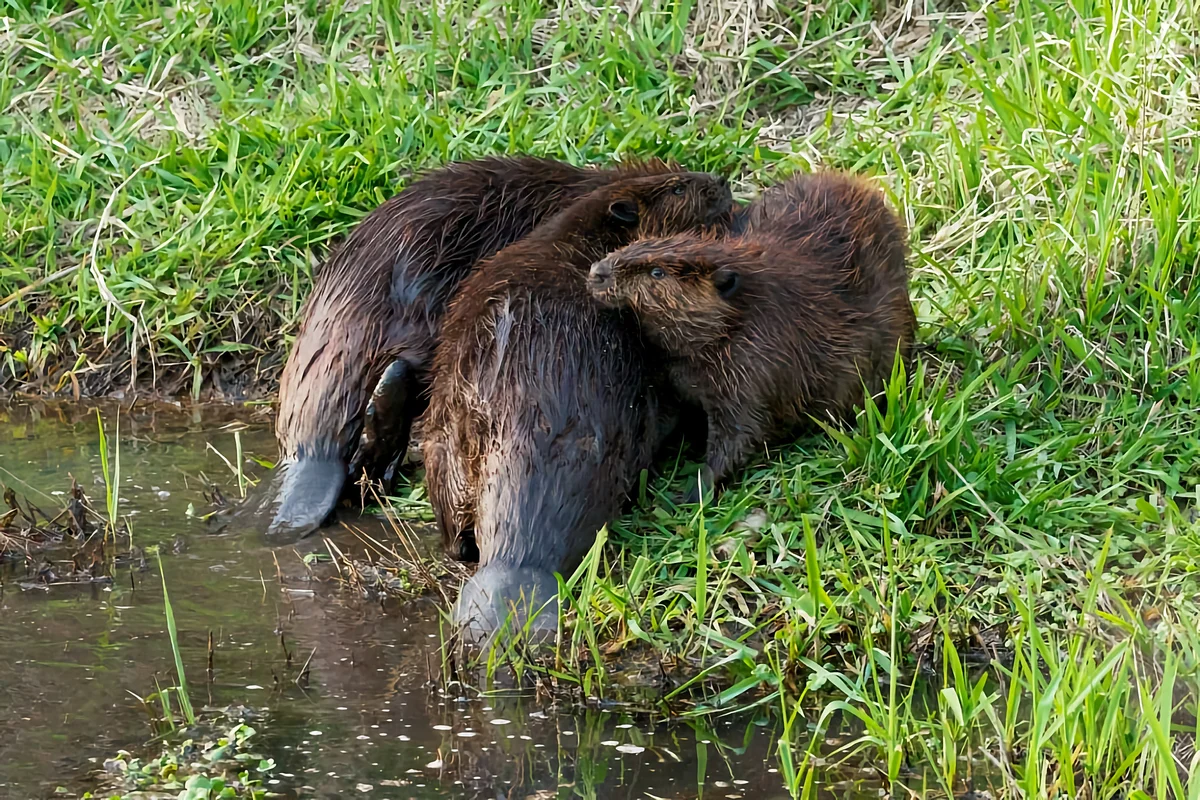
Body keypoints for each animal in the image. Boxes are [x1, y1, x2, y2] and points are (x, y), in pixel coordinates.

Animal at [585, 173, 912, 501]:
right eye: (634, 243)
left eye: (656, 272)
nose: (597, 272)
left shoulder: (756, 366)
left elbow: (743, 432)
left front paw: (691, 494)